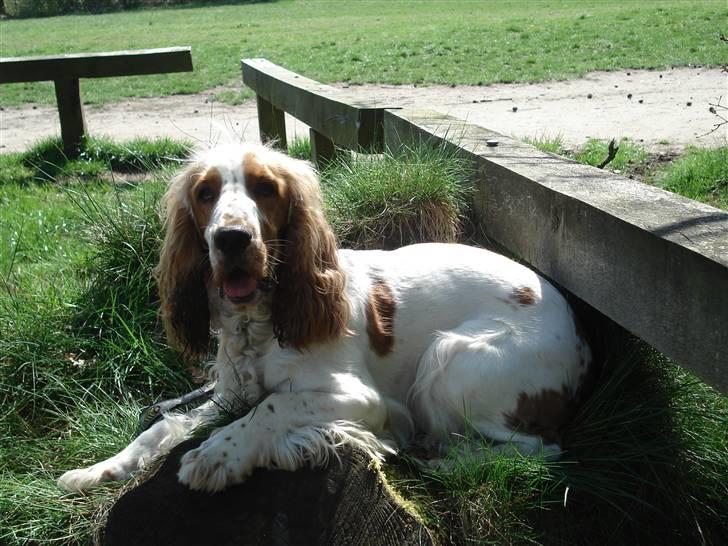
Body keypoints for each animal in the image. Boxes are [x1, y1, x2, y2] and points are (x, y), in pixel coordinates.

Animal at [57, 142, 592, 490]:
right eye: (206, 194)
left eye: (264, 188)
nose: (231, 239)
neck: (260, 322)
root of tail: (579, 333)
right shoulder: (228, 396)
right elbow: (163, 426)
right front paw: (99, 469)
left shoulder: (359, 398)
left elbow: (270, 408)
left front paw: (216, 456)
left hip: (451, 362)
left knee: (542, 449)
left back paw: (442, 459)